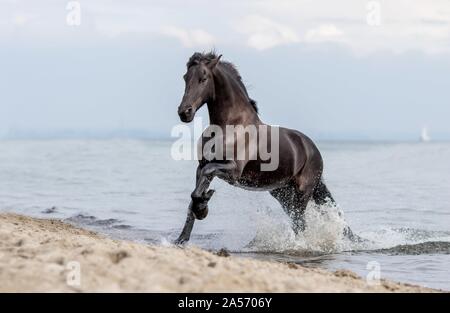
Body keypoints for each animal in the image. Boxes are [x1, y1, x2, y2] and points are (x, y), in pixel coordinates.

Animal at [174, 51, 354, 244]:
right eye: (185, 77)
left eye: (204, 78)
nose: (184, 112)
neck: (229, 126)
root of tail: (313, 149)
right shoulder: (201, 166)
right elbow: (194, 194)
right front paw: (182, 237)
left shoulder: (233, 170)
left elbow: (202, 183)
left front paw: (203, 207)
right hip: (282, 194)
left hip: (302, 193)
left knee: (300, 224)